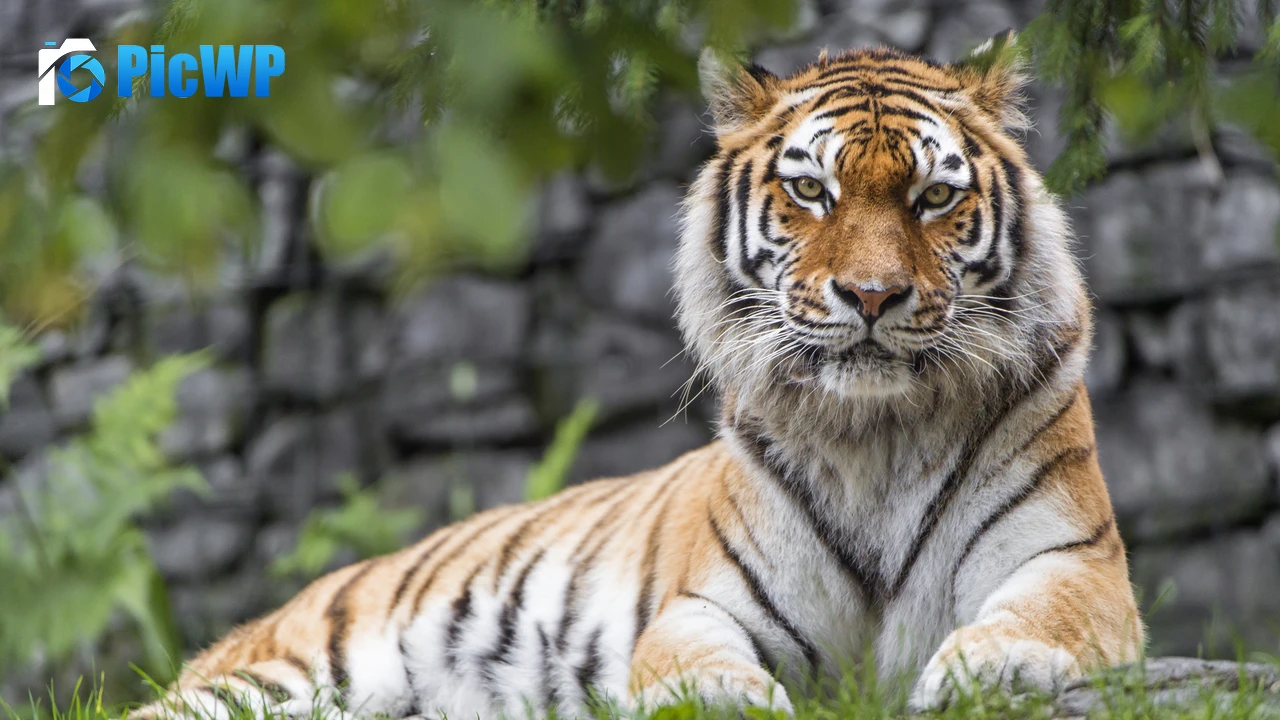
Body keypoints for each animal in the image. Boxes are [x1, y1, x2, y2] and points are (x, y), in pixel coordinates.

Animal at [133, 32, 1143, 720]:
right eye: (810, 190)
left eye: (934, 197)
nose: (871, 295)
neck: (877, 437)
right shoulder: (705, 603)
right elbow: (695, 663)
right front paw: (726, 701)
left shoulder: (1073, 562)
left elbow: (1040, 619)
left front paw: (991, 669)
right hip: (283, 674)